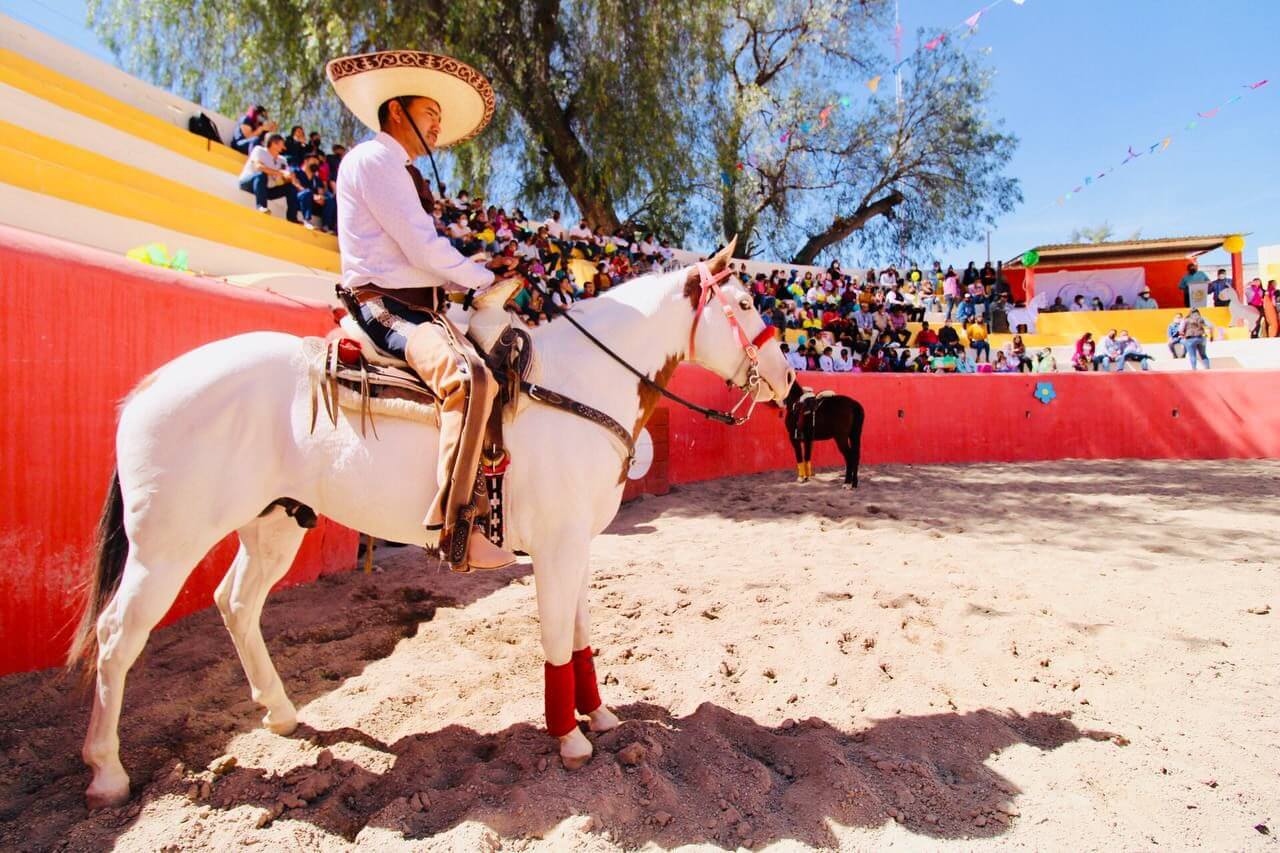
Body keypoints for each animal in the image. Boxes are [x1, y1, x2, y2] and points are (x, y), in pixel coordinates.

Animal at [70, 240, 793, 804]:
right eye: (746, 304)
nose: (787, 379)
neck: (577, 386)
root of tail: (150, 387)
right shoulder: (556, 547)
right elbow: (557, 635)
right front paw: (569, 737)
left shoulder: (578, 543)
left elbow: (582, 632)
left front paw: (601, 713)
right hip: (166, 546)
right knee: (118, 636)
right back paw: (107, 772)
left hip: (272, 524)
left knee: (236, 602)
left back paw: (282, 713)